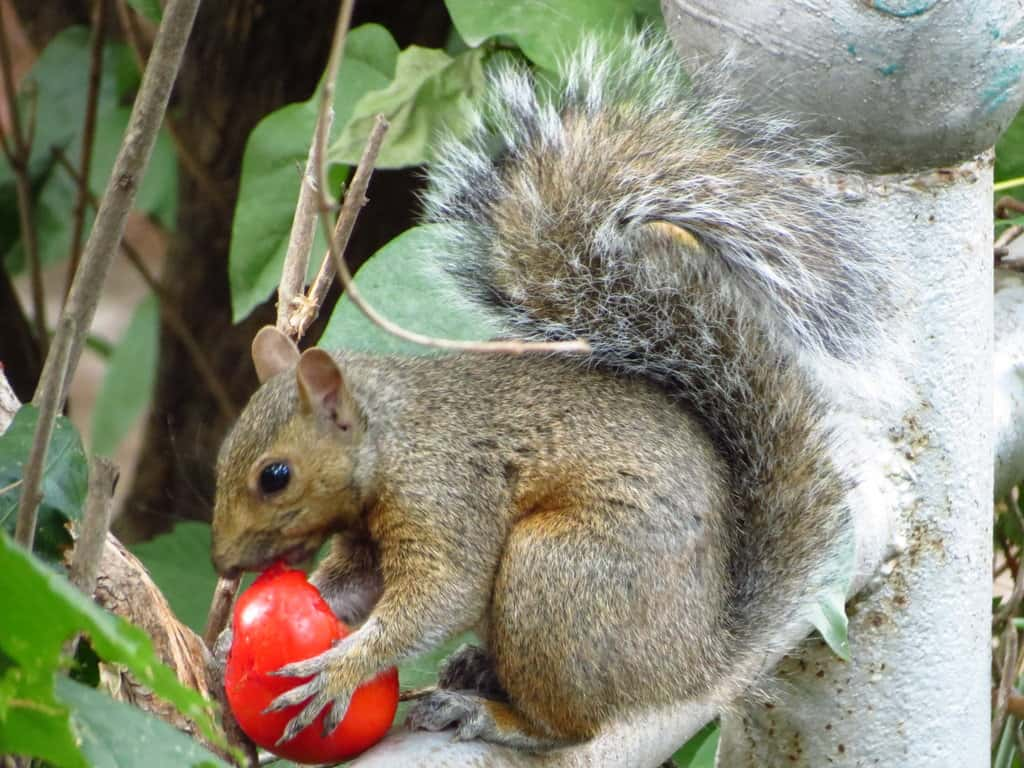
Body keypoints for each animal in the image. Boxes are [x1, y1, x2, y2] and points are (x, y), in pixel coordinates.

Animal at [209, 31, 897, 757]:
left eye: (275, 476)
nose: (223, 561)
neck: (393, 435)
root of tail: (699, 658)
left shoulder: (447, 494)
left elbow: (442, 594)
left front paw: (339, 671)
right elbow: (350, 590)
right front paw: (234, 643)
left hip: (557, 574)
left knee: (570, 728)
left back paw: (492, 714)